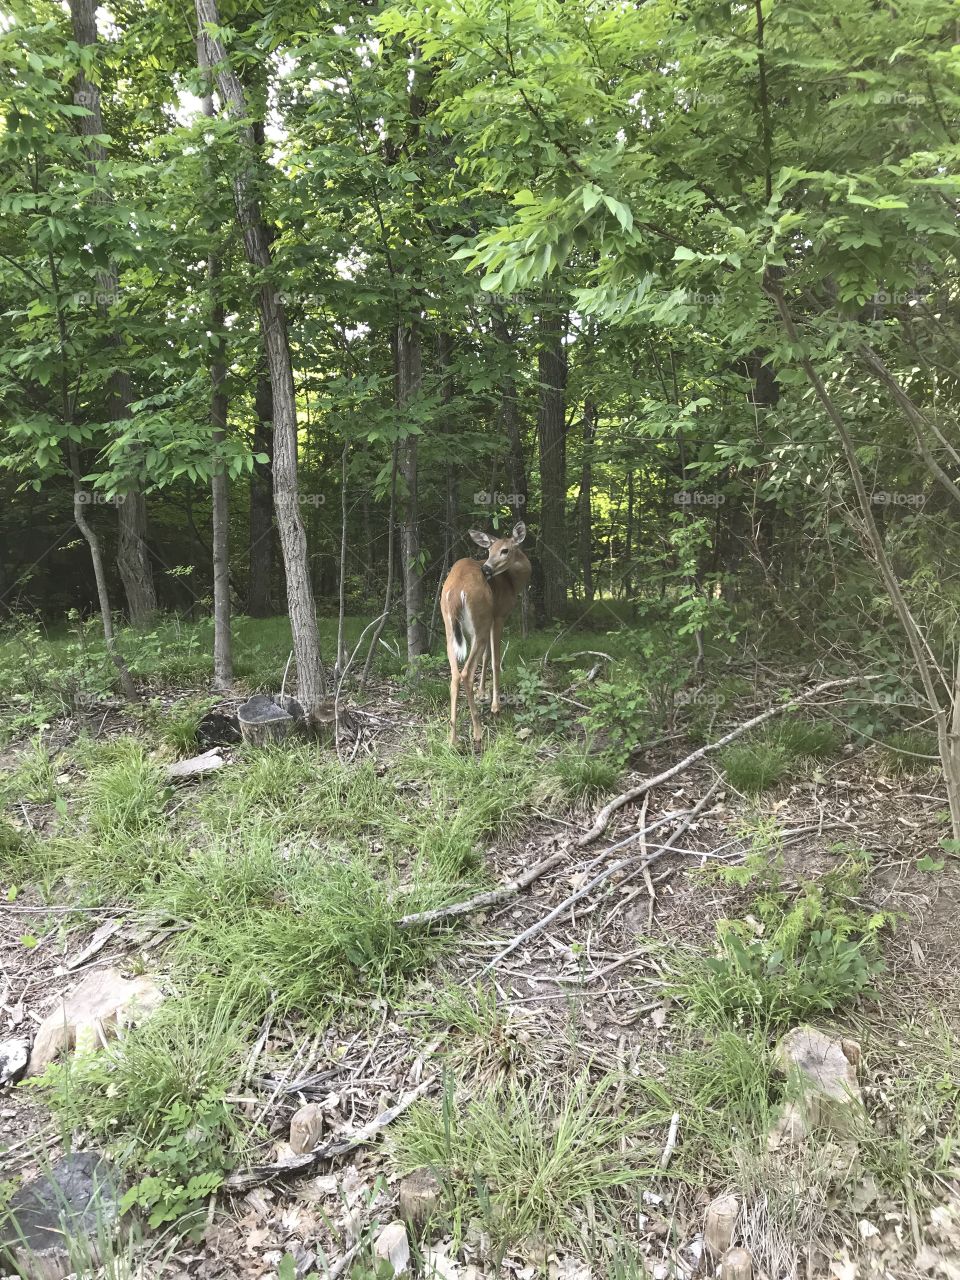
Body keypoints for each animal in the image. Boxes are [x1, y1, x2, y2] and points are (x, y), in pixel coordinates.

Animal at [440, 522, 531, 749]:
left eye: (504, 550)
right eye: (489, 551)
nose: (487, 569)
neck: (511, 582)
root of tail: (456, 594)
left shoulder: (488, 621)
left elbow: (486, 656)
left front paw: (482, 694)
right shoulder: (498, 616)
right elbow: (495, 660)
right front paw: (495, 706)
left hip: (450, 628)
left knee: (455, 674)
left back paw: (453, 738)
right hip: (478, 622)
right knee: (465, 673)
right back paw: (477, 732)